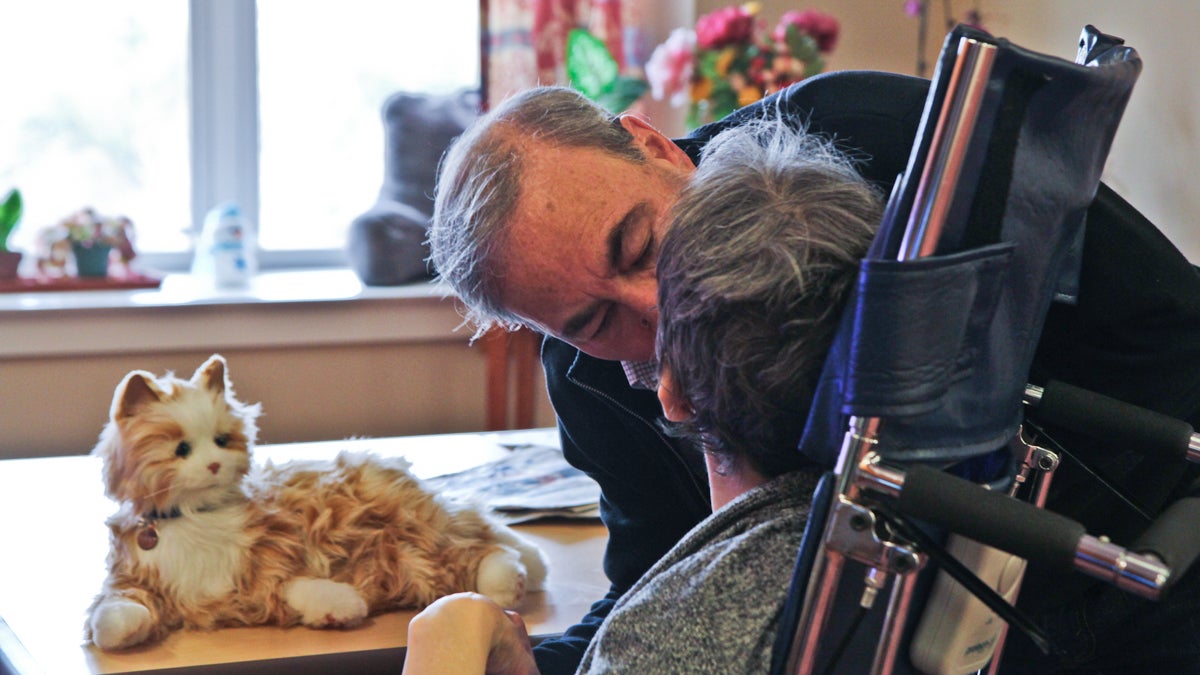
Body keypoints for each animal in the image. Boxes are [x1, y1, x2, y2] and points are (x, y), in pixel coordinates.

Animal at [85, 355, 549, 648]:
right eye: (181, 449)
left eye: (221, 441)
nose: (215, 465)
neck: (192, 517)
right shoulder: (137, 582)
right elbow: (111, 619)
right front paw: (343, 609)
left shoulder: (272, 549)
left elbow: (296, 582)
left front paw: (342, 607)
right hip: (412, 547)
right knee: (479, 529)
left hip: (418, 529)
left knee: (481, 541)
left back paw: (514, 578)